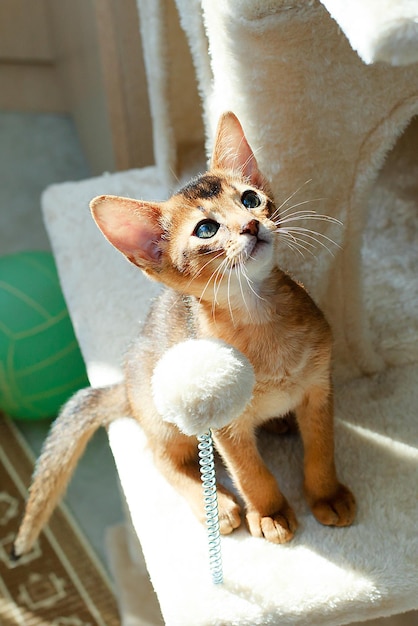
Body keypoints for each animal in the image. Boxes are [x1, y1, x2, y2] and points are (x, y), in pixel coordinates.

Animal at [13, 112, 354, 556]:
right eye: (206, 229)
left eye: (250, 199)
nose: (251, 225)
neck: (263, 321)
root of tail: (126, 385)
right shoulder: (225, 426)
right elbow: (250, 472)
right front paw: (271, 512)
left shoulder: (318, 390)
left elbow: (321, 451)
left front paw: (327, 495)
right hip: (165, 418)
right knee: (160, 457)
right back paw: (217, 505)